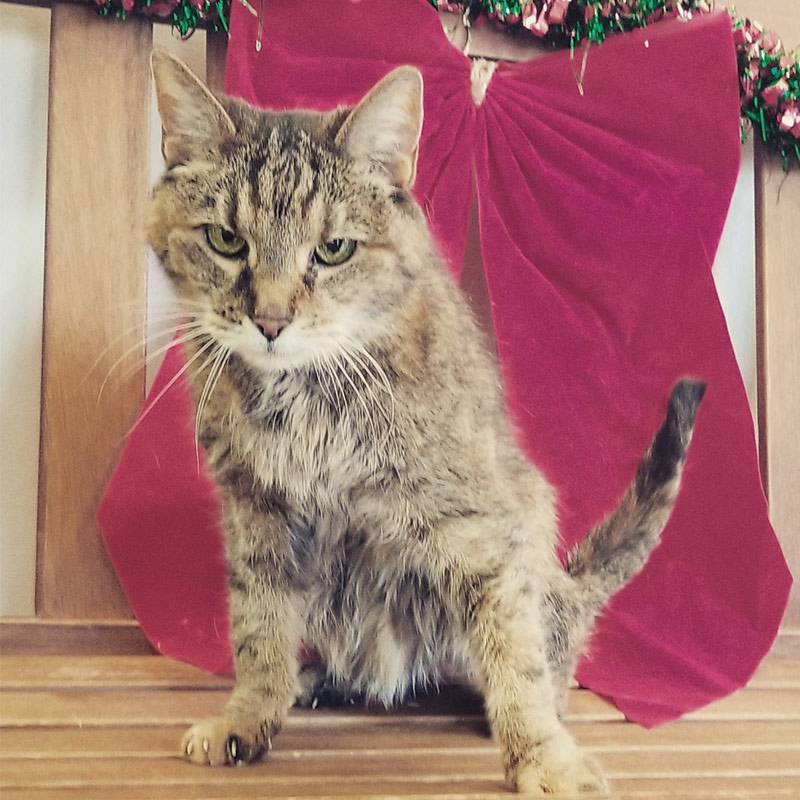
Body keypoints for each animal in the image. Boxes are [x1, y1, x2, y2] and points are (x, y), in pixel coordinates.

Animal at [147, 50, 704, 792]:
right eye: (225, 240)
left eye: (333, 249)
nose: (270, 320)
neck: (305, 397)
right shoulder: (254, 510)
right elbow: (257, 627)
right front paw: (249, 714)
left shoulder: (475, 523)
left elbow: (514, 653)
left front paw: (540, 753)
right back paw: (318, 679)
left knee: (546, 645)